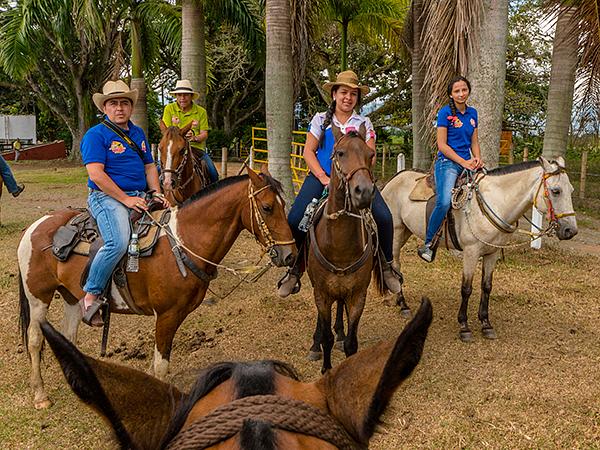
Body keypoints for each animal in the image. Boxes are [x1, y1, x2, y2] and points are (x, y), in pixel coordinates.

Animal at [19, 167, 298, 410]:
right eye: (267, 207)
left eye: (283, 205)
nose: (290, 255)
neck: (183, 242)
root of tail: (36, 226)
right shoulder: (166, 315)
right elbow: (161, 365)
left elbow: (156, 366)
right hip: (39, 297)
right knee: (34, 339)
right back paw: (40, 395)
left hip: (71, 297)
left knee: (68, 336)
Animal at [308, 125, 386, 372]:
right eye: (340, 153)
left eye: (371, 155)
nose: (364, 192)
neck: (339, 246)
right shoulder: (321, 293)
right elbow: (326, 337)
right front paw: (326, 368)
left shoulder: (357, 295)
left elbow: (352, 342)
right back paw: (315, 345)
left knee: (340, 306)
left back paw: (340, 332)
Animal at [382, 158, 580, 342]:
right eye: (556, 191)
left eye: (571, 190)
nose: (571, 230)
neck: (496, 202)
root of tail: (392, 180)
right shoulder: (471, 252)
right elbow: (466, 288)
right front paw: (464, 326)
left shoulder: (492, 253)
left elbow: (487, 287)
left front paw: (486, 324)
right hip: (396, 231)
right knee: (396, 263)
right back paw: (403, 305)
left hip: (405, 231)